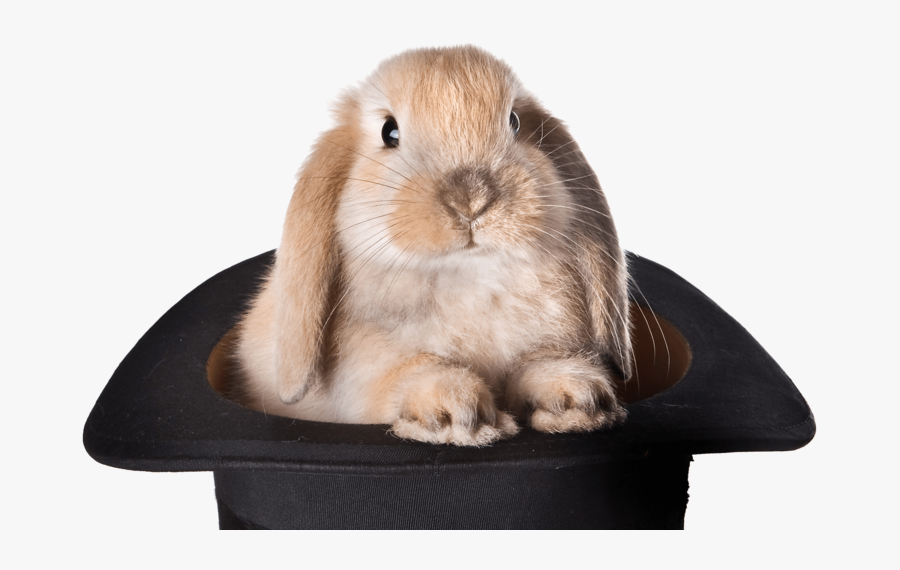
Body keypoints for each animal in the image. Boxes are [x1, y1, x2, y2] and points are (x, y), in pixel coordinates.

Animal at [233, 46, 632, 446]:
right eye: (389, 132)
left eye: (515, 122)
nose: (471, 199)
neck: (469, 274)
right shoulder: (362, 370)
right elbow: (408, 371)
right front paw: (457, 415)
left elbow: (537, 362)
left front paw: (578, 399)